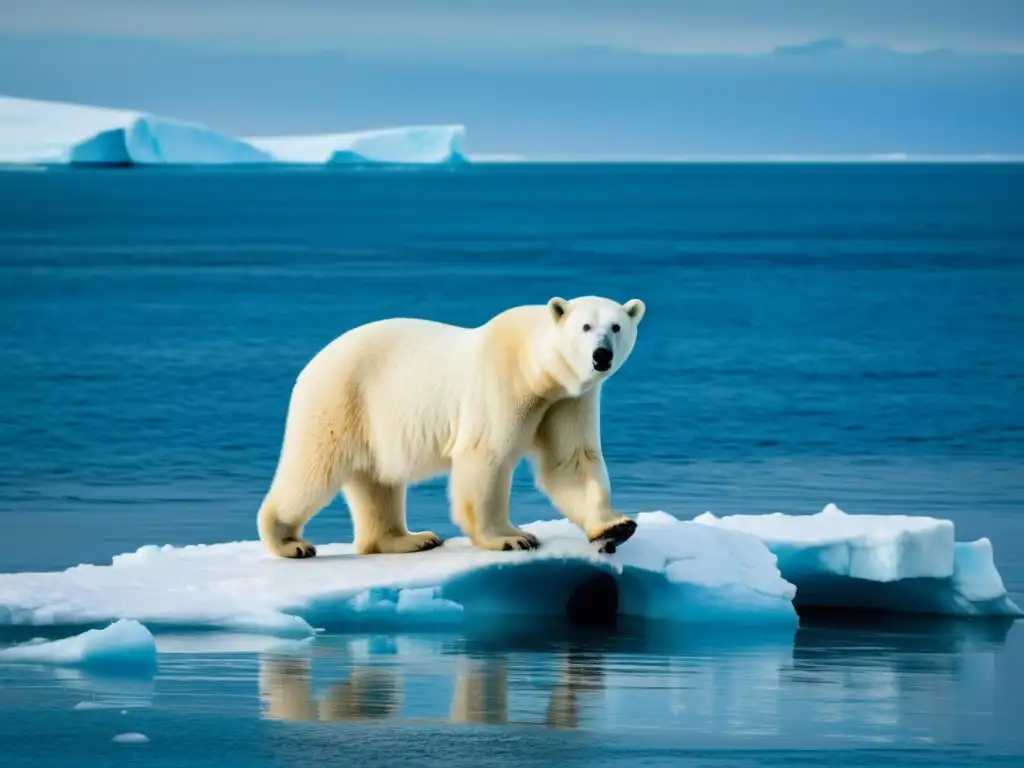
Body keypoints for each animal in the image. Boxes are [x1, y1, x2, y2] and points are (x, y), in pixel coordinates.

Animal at [256, 296, 643, 561]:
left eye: (616, 327)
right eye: (586, 327)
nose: (601, 355)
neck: (534, 367)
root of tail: (312, 363)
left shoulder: (567, 400)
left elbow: (570, 461)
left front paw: (617, 527)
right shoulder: (501, 385)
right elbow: (486, 457)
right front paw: (511, 538)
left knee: (376, 481)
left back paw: (410, 538)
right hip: (340, 400)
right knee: (313, 470)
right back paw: (289, 542)